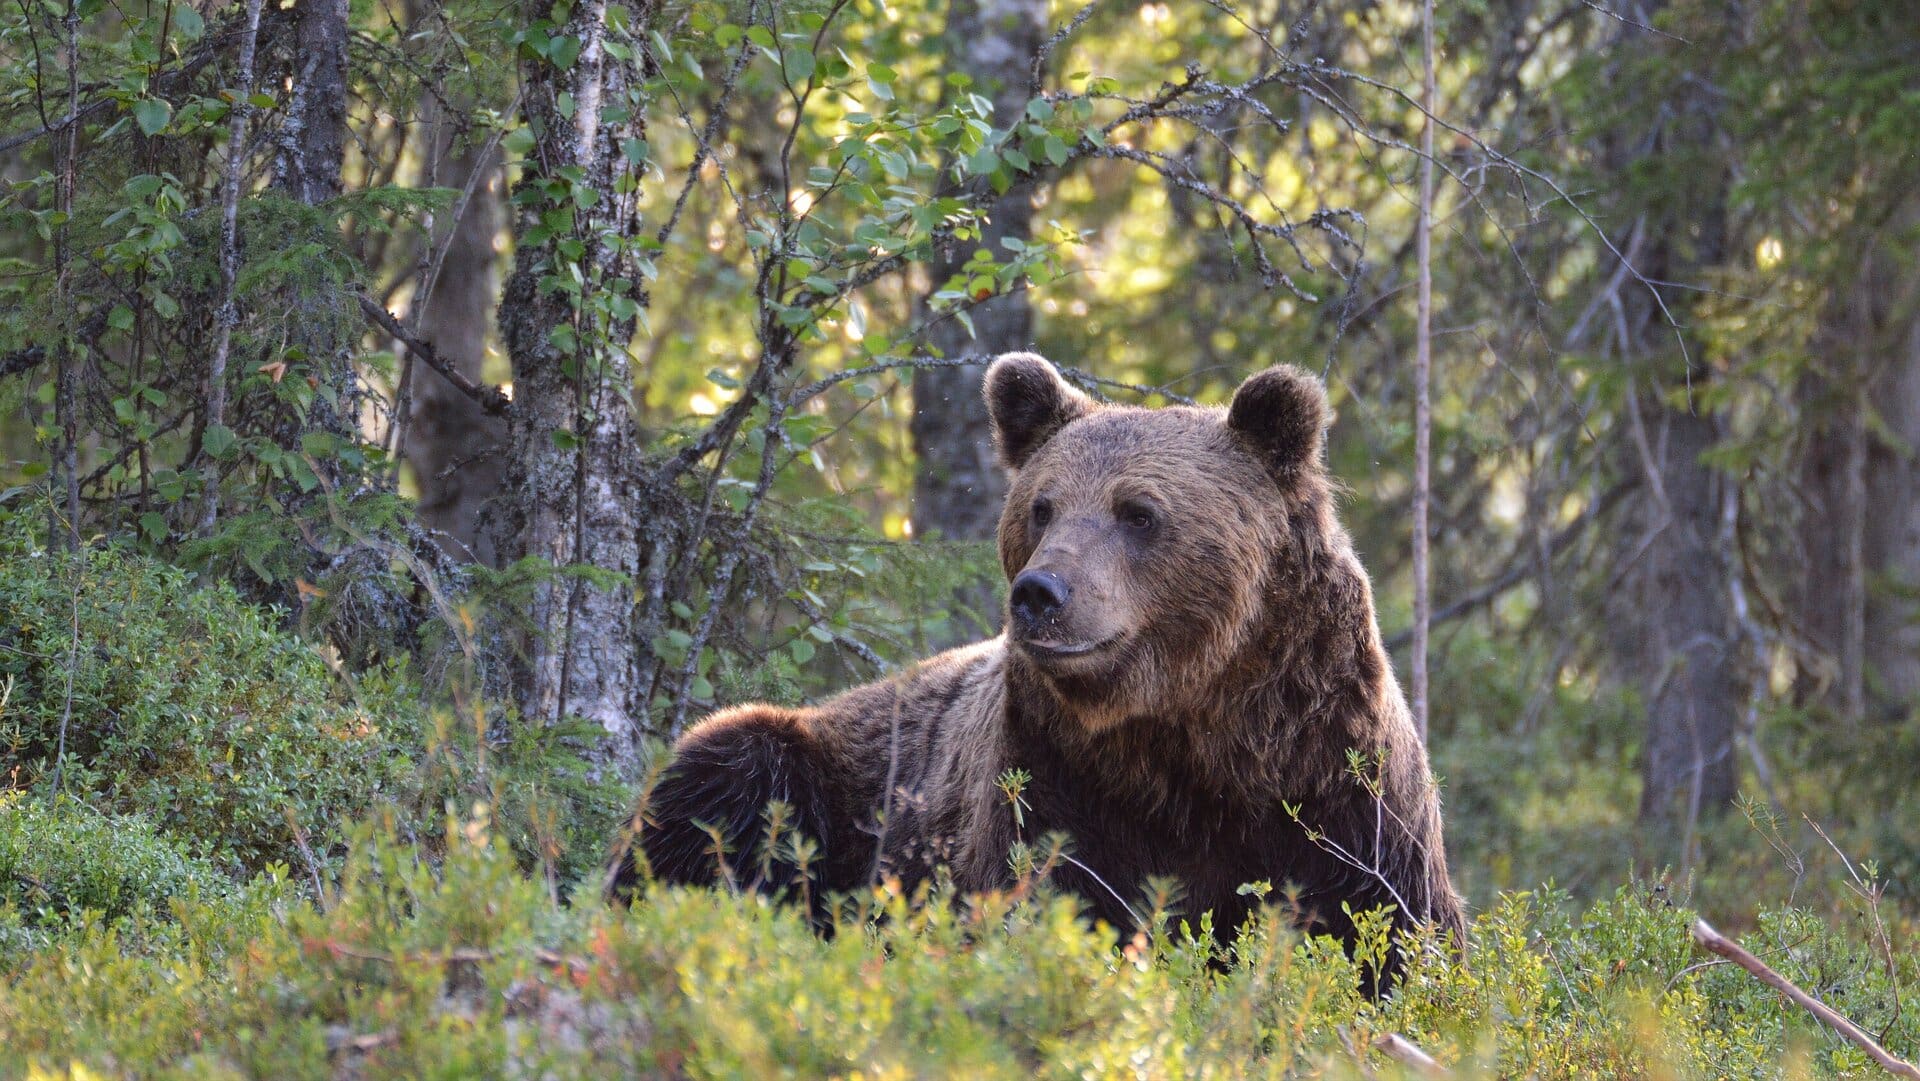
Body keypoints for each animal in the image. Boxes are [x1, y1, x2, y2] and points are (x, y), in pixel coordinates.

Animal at [608, 353, 1464, 982]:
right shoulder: (1054, 778)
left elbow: (1384, 933)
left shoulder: (1334, 780)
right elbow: (1055, 897)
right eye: (1042, 506)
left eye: (1138, 512)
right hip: (821, 776)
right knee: (726, 777)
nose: (1040, 593)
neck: (1189, 731)